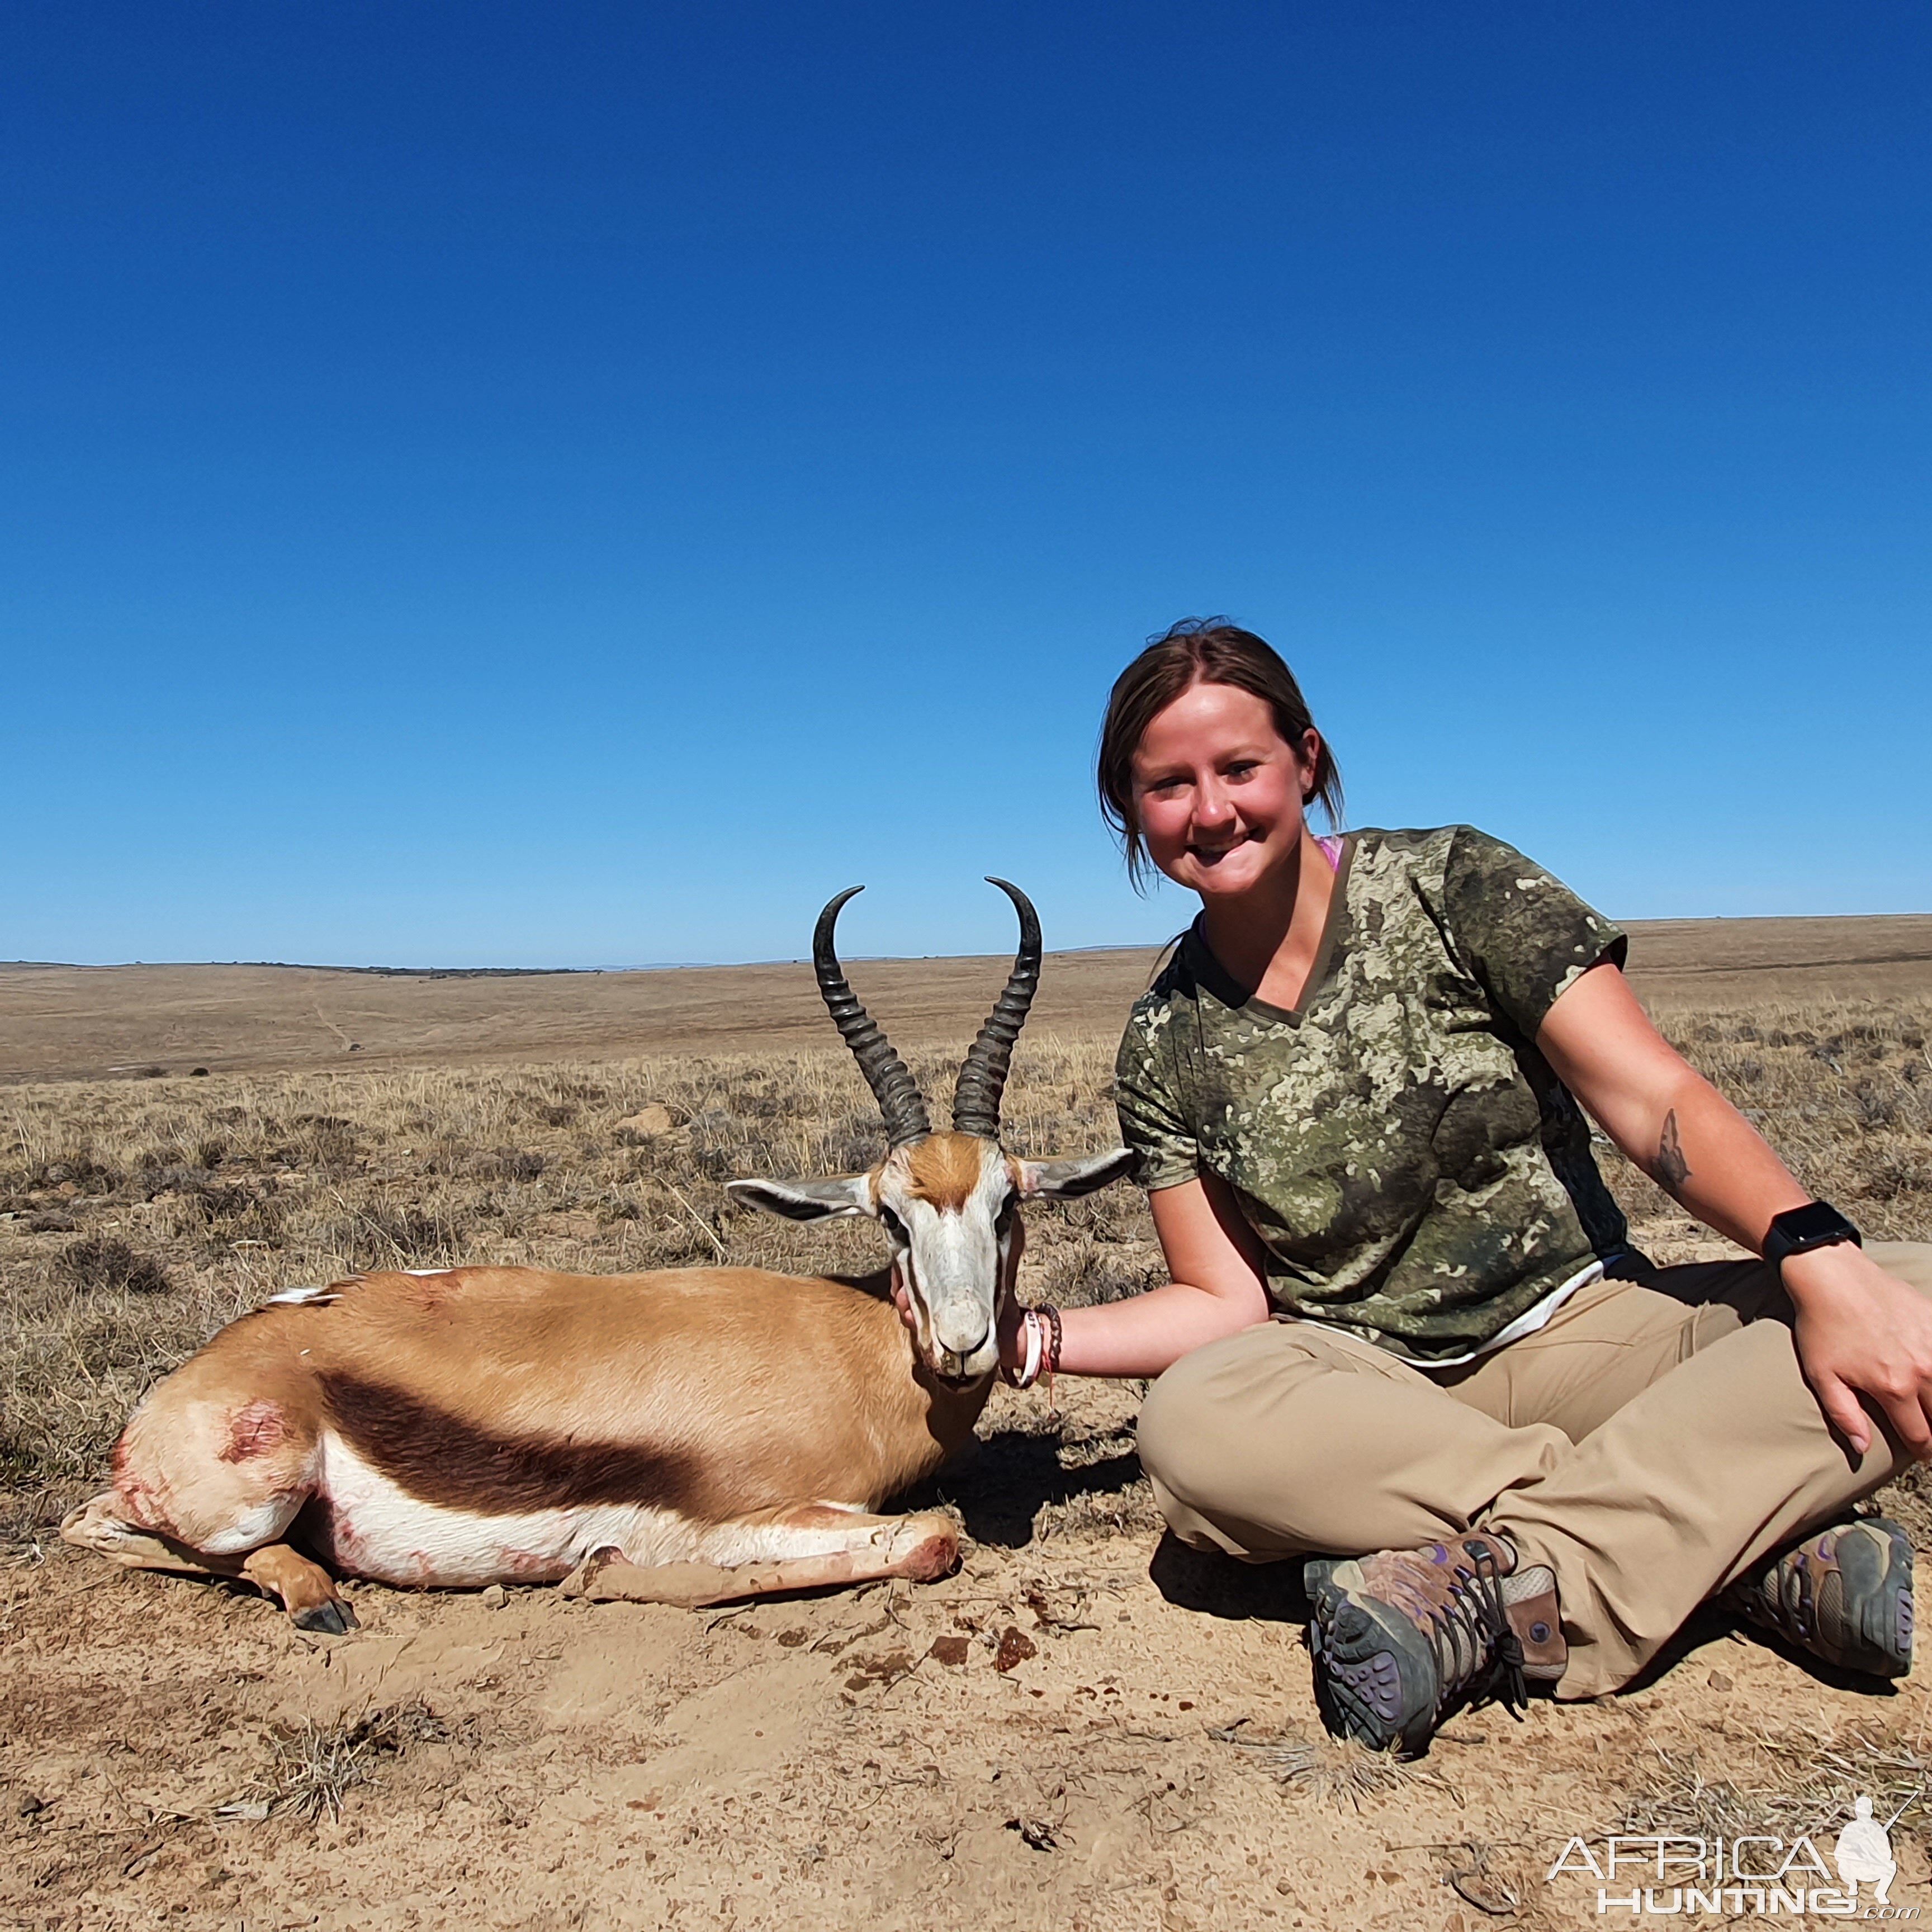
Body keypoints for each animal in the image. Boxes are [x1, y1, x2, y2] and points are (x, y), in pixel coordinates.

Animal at [64, 884, 1128, 1630]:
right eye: (893, 1219)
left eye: (1007, 1204)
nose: (963, 1343)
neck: (853, 1349)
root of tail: (212, 1360)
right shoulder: (744, 1515)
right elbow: (931, 1539)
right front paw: (606, 1569)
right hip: (248, 1501)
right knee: (99, 1526)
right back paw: (317, 1597)